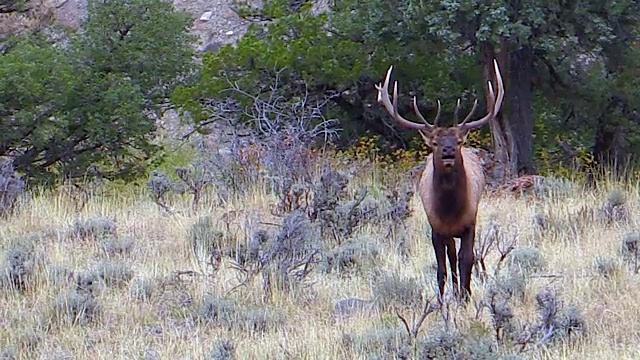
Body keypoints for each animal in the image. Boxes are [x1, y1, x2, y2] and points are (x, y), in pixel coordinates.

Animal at [376, 60, 504, 302]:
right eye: (434, 142)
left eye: (459, 141)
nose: (448, 151)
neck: (450, 211)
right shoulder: (435, 227)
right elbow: (441, 268)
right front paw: (442, 301)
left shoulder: (470, 222)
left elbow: (467, 261)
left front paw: (465, 297)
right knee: (450, 257)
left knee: (459, 258)